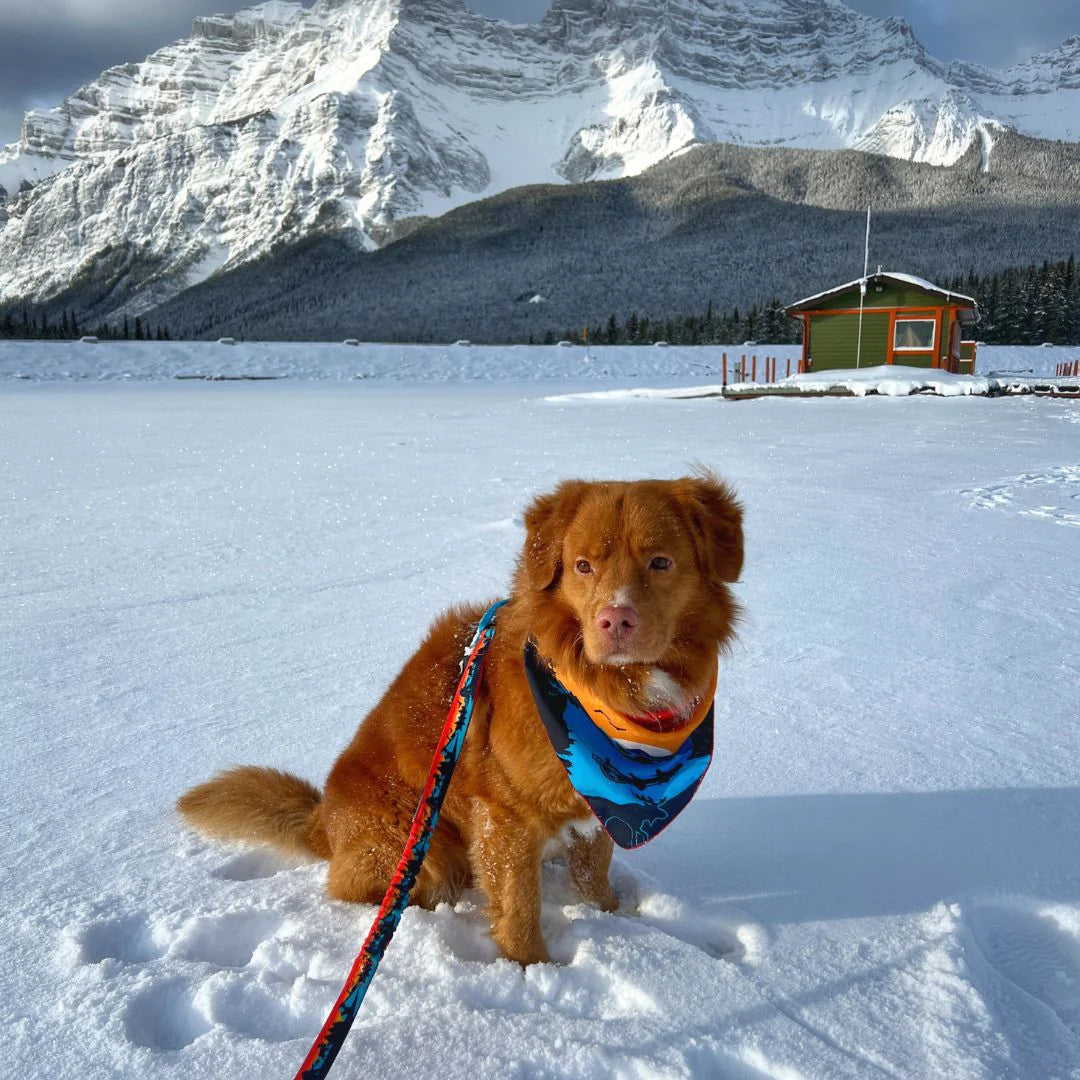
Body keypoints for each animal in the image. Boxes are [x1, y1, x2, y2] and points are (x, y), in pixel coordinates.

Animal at [177, 477, 743, 967]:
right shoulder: (505, 814)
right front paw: (533, 971)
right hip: (416, 844)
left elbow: (593, 871)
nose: (615, 620)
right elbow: (518, 906)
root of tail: (323, 821)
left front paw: (612, 918)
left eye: (661, 562)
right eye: (583, 566)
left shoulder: (593, 807)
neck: (608, 701)